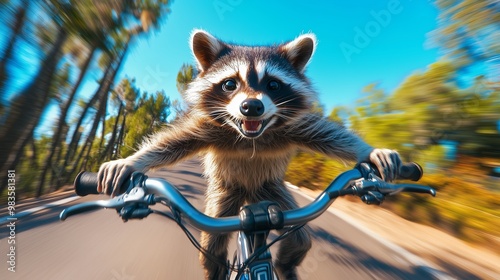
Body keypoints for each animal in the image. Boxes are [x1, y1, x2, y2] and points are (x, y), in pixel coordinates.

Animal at [96, 29, 402, 278]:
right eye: (230, 83)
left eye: (273, 85)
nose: (252, 107)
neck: (251, 137)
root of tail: (249, 197)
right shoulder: (210, 127)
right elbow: (173, 142)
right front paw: (131, 161)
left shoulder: (293, 126)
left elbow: (330, 135)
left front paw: (369, 151)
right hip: (224, 196)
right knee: (213, 248)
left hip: (274, 192)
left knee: (298, 239)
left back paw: (287, 265)